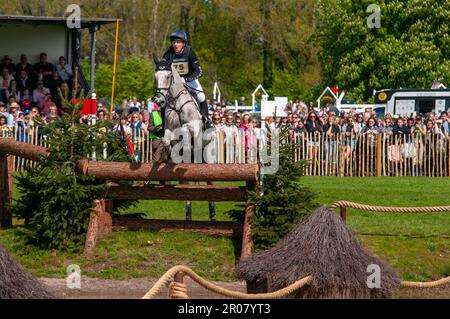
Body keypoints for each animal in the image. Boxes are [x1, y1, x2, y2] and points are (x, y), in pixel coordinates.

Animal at [154, 57, 217, 222]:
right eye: (155, 77)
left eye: (168, 76)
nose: (159, 101)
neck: (176, 103)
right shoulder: (168, 130)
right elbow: (166, 139)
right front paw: (173, 150)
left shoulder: (193, 128)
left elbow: (184, 129)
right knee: (186, 186)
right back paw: (188, 215)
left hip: (208, 158)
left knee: (210, 184)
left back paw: (212, 215)